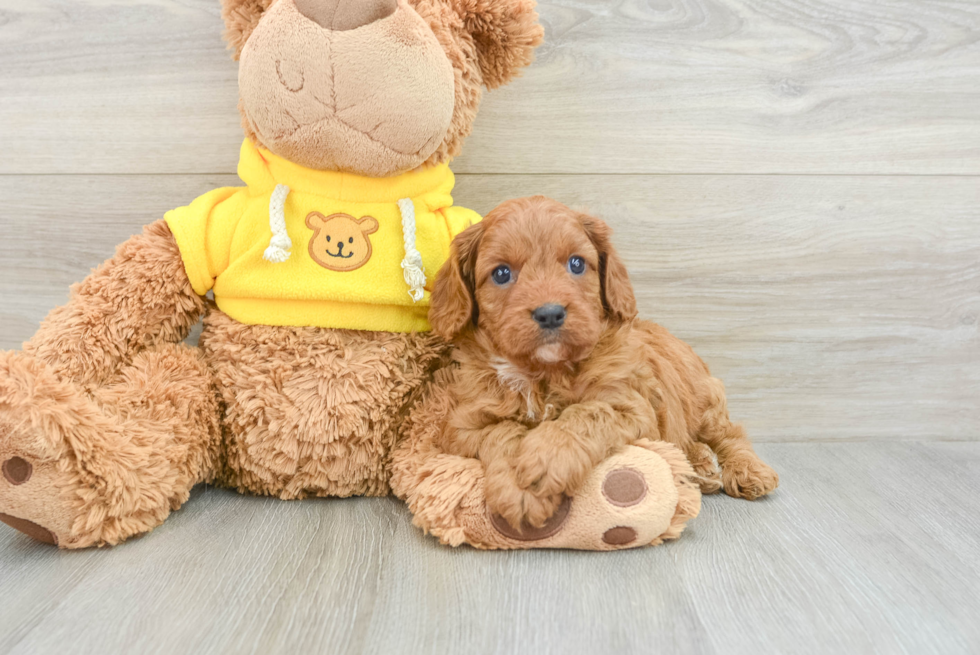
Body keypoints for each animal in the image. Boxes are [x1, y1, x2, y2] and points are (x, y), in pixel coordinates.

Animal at [428, 197, 780, 532]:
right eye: (501, 273)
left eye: (576, 263)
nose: (550, 313)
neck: (546, 373)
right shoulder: (460, 426)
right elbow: (501, 430)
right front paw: (519, 486)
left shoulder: (637, 410)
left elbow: (589, 411)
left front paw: (547, 458)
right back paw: (700, 465)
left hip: (706, 398)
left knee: (730, 434)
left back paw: (749, 470)